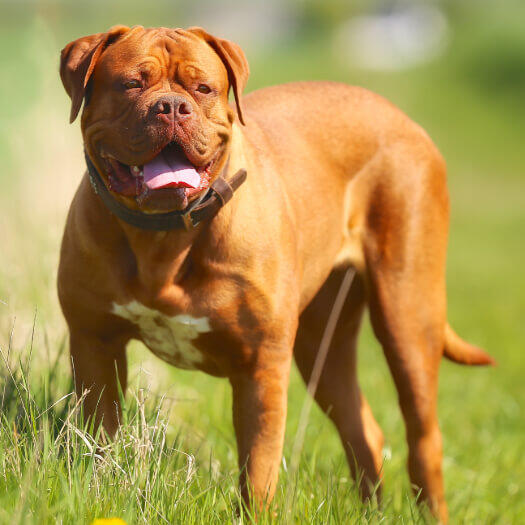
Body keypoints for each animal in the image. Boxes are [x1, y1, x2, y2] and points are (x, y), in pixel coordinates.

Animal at [59, 24, 494, 520]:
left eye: (203, 88)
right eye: (131, 83)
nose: (171, 106)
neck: (163, 236)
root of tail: (402, 117)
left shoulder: (261, 365)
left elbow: (258, 467)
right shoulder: (95, 343)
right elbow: (99, 440)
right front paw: (96, 493)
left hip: (408, 316)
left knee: (424, 438)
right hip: (321, 343)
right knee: (362, 428)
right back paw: (371, 513)